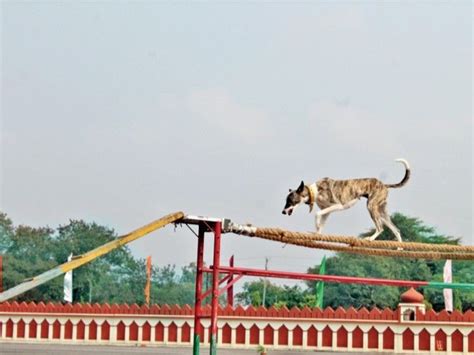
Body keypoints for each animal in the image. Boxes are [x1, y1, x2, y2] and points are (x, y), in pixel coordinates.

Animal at [282, 160, 412, 243]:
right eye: (287, 200)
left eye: (290, 200)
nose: (283, 212)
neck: (314, 191)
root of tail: (384, 185)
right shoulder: (327, 211)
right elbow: (321, 224)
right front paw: (317, 233)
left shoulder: (337, 206)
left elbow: (317, 214)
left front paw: (317, 227)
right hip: (381, 212)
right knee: (396, 229)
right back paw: (399, 247)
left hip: (371, 206)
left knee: (380, 228)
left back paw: (370, 238)